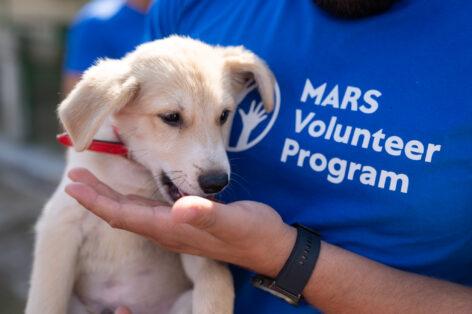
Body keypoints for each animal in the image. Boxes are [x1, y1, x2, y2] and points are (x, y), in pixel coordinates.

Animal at [25, 35, 274, 314]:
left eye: (224, 115)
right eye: (171, 117)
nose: (216, 183)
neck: (133, 175)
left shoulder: (199, 249)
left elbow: (216, 288)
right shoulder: (59, 225)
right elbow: (46, 300)